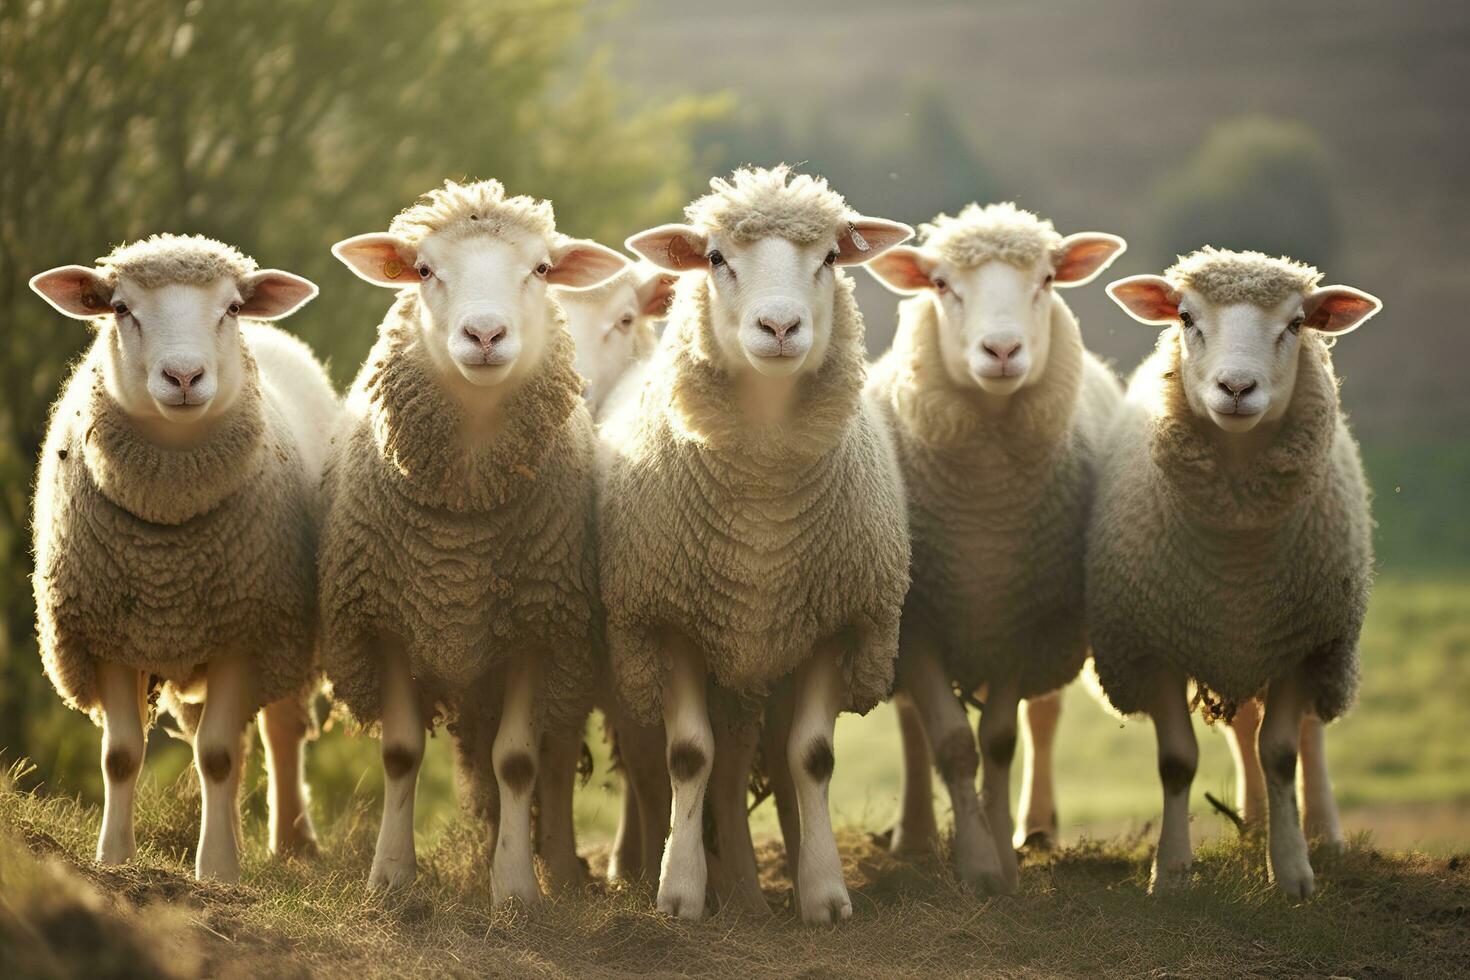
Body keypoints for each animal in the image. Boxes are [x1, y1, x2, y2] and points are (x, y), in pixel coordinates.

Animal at [30, 235, 335, 881]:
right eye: (120, 308)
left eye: (232, 308)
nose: (184, 375)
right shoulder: (105, 635)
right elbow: (122, 756)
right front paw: (113, 858)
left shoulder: (244, 632)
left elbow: (216, 757)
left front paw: (216, 871)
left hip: (289, 638)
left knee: (279, 730)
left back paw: (292, 843)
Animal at [318, 176, 623, 905]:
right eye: (425, 270)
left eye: (540, 269)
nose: (485, 333)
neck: (463, 521)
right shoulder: (386, 622)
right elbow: (401, 753)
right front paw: (390, 879)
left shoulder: (540, 629)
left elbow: (517, 761)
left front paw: (515, 889)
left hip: (565, 656)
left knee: (549, 755)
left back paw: (557, 867)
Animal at [602, 164, 911, 922]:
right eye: (716, 258)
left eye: (829, 258)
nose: (779, 326)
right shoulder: (670, 620)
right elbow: (688, 756)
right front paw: (679, 893)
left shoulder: (835, 623)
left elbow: (813, 757)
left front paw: (824, 894)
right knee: (684, 765)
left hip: (759, 664)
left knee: (747, 759)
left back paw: (750, 888)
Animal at [864, 202, 1128, 893]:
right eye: (941, 285)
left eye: (1046, 280)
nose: (1003, 350)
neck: (984, 512)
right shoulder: (919, 619)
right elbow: (953, 743)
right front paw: (976, 866)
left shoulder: (1021, 615)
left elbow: (1002, 738)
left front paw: (1003, 860)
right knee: (912, 725)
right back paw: (914, 835)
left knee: (1044, 717)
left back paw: (1033, 827)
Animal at [1099, 245, 1381, 899]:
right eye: (1184, 317)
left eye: (1297, 324)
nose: (1236, 386)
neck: (1237, 553)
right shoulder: (1155, 644)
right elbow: (1178, 761)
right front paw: (1172, 873)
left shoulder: (1305, 644)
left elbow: (1281, 753)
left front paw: (1294, 871)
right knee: (1244, 730)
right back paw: (1252, 825)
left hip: (1316, 647)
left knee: (1307, 735)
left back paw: (1320, 832)